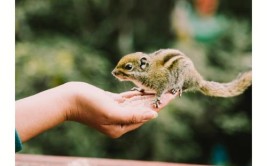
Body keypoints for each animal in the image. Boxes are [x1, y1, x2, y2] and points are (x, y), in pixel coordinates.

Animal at [111, 48, 253, 107]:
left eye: (128, 67)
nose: (113, 73)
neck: (148, 71)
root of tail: (198, 80)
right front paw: (139, 89)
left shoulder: (163, 81)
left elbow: (160, 90)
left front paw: (156, 99)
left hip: (183, 75)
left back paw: (177, 88)